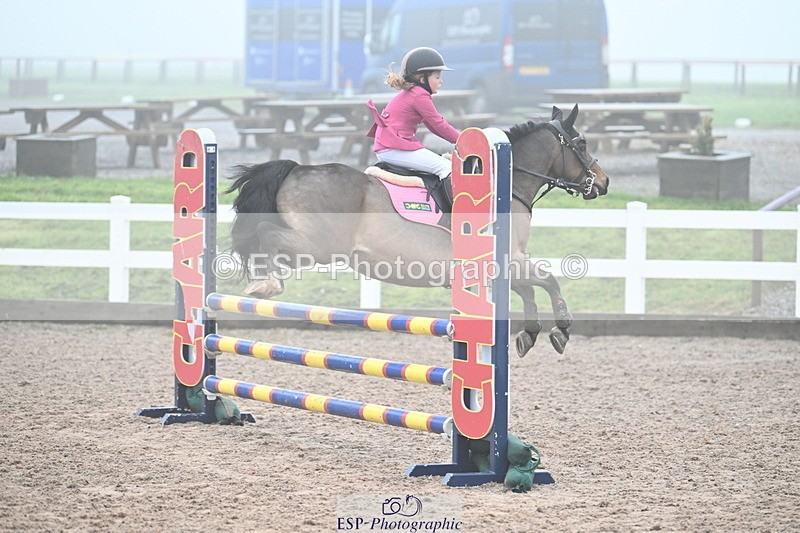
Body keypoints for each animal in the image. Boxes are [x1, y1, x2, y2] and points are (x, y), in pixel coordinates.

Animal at [225, 104, 609, 357]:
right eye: (582, 143)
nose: (603, 182)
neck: (505, 186)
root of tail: (296, 169)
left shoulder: (505, 265)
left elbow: (530, 289)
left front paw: (529, 334)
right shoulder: (509, 260)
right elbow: (548, 280)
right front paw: (561, 329)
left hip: (310, 249)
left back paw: (262, 281)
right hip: (318, 247)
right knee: (265, 233)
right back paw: (266, 283)